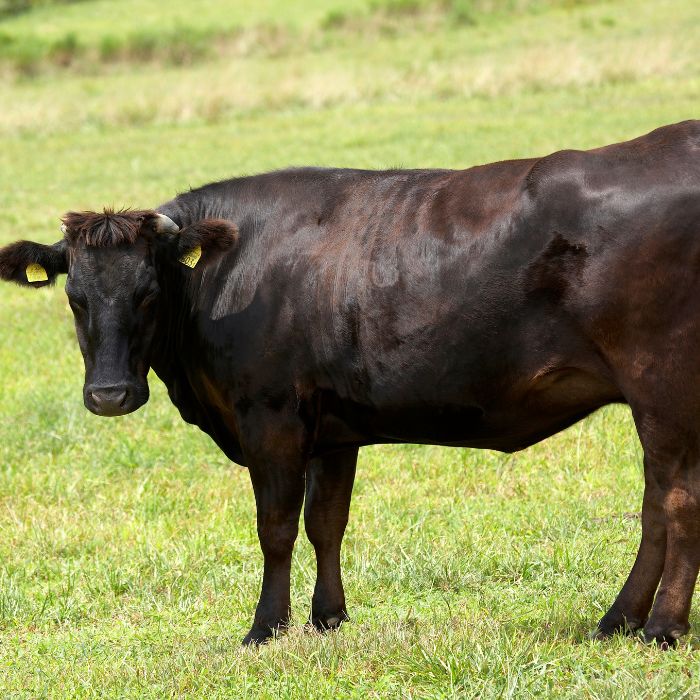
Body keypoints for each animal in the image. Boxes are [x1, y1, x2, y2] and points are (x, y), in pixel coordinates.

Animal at [1, 121, 700, 644]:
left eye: (148, 293)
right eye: (75, 298)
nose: (109, 395)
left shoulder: (271, 416)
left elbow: (277, 524)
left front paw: (265, 626)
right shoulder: (333, 429)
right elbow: (326, 521)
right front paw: (328, 616)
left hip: (662, 385)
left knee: (675, 500)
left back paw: (661, 626)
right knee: (654, 502)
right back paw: (619, 619)